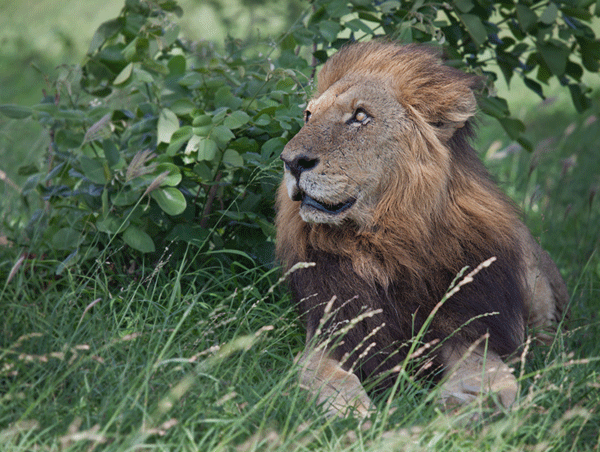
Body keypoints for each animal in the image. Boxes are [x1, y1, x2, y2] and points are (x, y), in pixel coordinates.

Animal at [274, 41, 568, 416]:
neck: (387, 242)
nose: (291, 161)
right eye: (308, 116)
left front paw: (467, 406)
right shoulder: (332, 332)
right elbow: (329, 378)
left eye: (360, 117)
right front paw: (352, 413)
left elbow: (490, 375)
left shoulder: (466, 329)